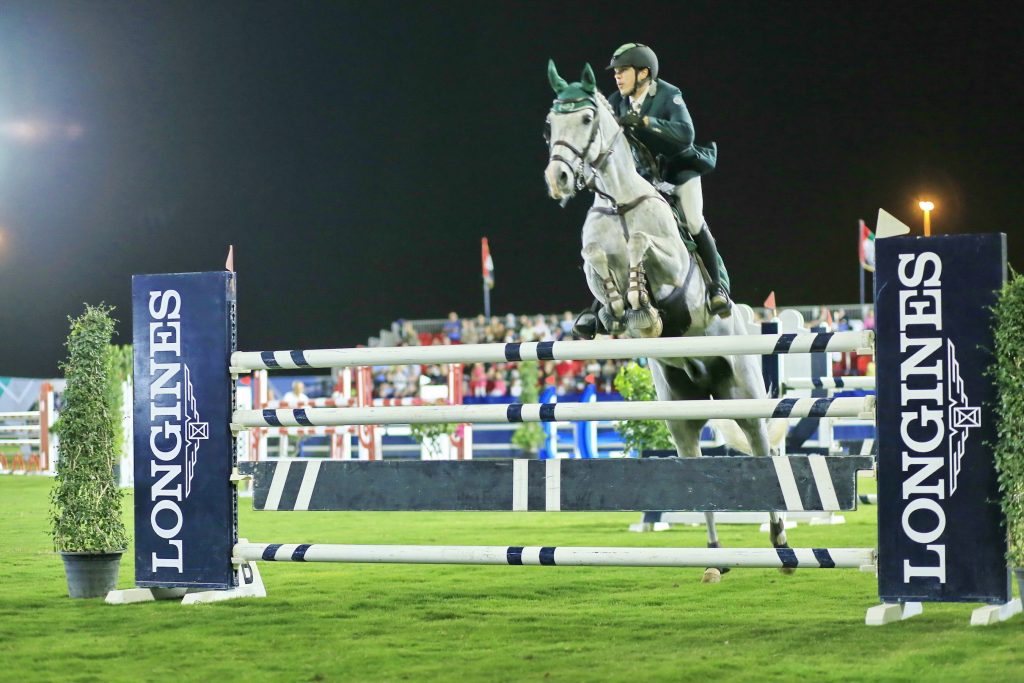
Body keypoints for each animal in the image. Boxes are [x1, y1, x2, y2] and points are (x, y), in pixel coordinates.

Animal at [548, 61, 786, 581]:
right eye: (550, 124)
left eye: (586, 119)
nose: (558, 178)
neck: (619, 201)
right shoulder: (592, 259)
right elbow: (596, 259)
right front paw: (615, 308)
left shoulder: (676, 271)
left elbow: (643, 246)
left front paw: (640, 303)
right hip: (680, 412)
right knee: (695, 469)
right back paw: (715, 560)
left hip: (746, 396)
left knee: (760, 450)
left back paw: (780, 539)